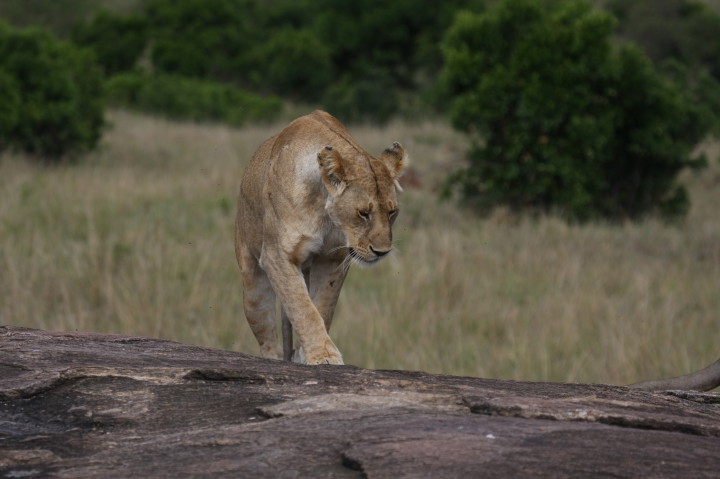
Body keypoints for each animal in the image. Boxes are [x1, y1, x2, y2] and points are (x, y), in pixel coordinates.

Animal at [235, 110, 407, 365]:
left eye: (392, 212)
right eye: (363, 213)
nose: (382, 252)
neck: (323, 211)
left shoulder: (332, 260)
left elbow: (321, 308)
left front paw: (311, 354)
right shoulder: (277, 256)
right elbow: (303, 308)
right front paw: (324, 355)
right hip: (253, 286)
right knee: (268, 338)